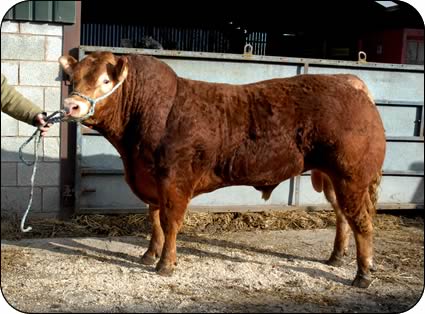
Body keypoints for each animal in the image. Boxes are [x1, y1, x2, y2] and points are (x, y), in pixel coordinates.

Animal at [58, 51, 386, 288]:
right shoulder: (150, 180)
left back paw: (363, 275)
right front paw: (149, 254)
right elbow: (153, 221)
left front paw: (165, 264)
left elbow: (169, 221)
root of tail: (349, 81)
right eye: (72, 79)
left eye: (105, 81)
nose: (71, 105)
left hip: (352, 177)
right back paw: (336, 257)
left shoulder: (174, 180)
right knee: (343, 215)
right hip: (332, 177)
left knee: (362, 221)